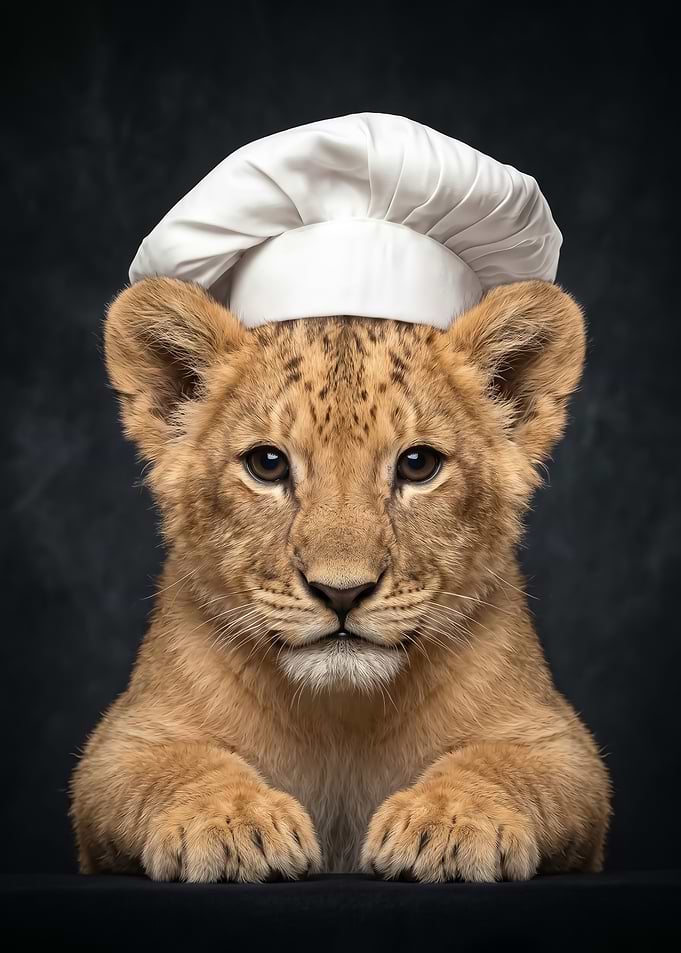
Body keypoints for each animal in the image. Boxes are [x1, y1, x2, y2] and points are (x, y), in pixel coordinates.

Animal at [70, 276, 611, 883]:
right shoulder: (121, 742)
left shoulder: (561, 744)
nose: (342, 591)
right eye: (268, 464)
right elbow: (178, 764)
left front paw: (448, 823)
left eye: (418, 464)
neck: (341, 718)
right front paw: (233, 824)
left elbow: (501, 764)